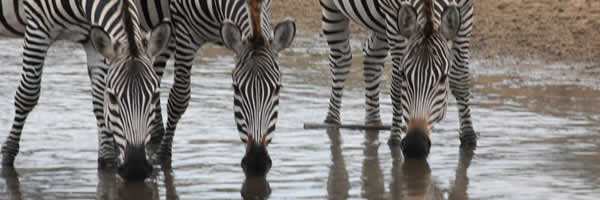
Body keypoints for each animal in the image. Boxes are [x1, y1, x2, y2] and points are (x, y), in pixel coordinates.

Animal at [0, 0, 172, 181]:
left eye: (154, 96)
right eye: (113, 97)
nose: (136, 169)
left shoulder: (91, 37)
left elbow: (99, 100)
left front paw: (107, 160)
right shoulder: (37, 25)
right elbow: (27, 95)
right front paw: (8, 156)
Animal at [150, 0, 296, 176]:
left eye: (277, 88)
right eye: (236, 88)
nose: (257, 163)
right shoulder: (185, 31)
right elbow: (179, 98)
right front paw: (163, 158)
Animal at [322, 0, 476, 157]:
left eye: (444, 78)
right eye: (403, 75)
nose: (415, 146)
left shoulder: (466, 11)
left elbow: (460, 80)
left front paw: (469, 138)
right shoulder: (392, 18)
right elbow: (396, 87)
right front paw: (394, 140)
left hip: (380, 24)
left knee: (372, 59)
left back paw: (373, 123)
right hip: (332, 8)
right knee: (341, 59)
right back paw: (332, 122)